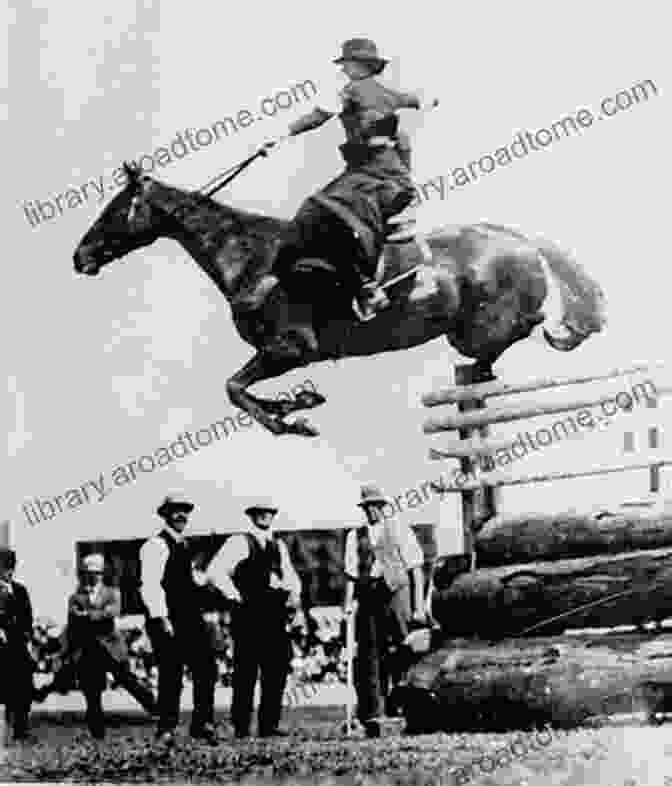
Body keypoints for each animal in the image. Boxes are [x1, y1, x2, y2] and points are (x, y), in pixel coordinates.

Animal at [71, 162, 608, 438]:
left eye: (115, 210)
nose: (80, 256)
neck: (254, 259)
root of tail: (522, 240)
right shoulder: (279, 354)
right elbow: (238, 388)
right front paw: (297, 403)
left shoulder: (290, 349)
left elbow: (234, 388)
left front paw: (292, 416)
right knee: (490, 355)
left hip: (480, 326)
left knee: (520, 328)